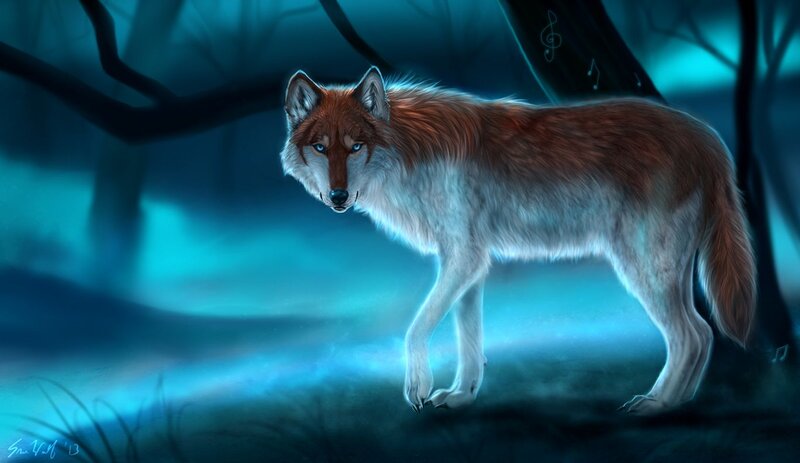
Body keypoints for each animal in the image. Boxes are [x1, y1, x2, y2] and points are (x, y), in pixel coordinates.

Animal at [279, 66, 755, 415]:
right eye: (321, 148)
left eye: (355, 146)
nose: (338, 197)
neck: (410, 153)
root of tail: (708, 137)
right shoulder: (470, 263)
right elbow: (468, 338)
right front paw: (461, 395)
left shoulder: (464, 258)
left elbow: (416, 328)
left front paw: (419, 386)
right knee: (702, 335)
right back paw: (680, 401)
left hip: (644, 267)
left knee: (692, 335)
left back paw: (659, 404)